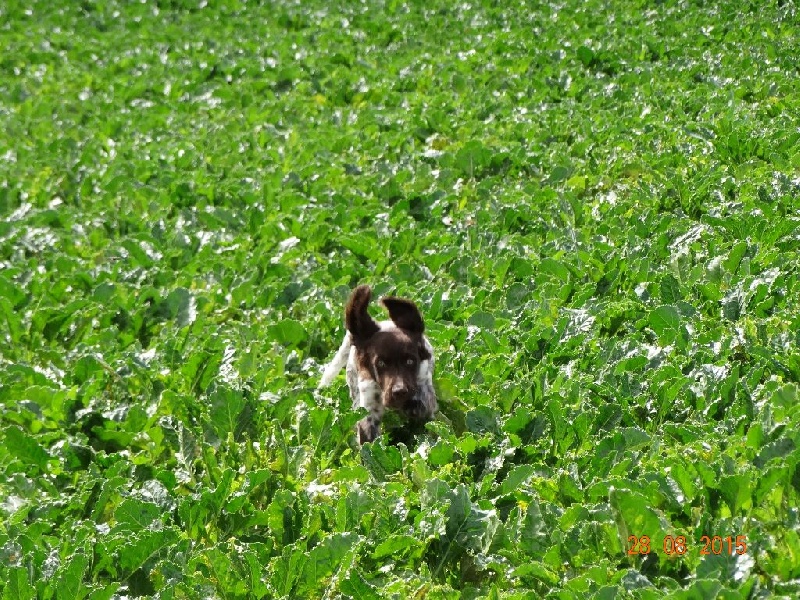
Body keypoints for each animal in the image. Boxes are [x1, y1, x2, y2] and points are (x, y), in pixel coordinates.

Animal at [318, 284, 438, 442]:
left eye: (410, 361)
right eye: (380, 363)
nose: (399, 391)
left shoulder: (425, 395)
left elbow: (422, 406)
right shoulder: (368, 409)